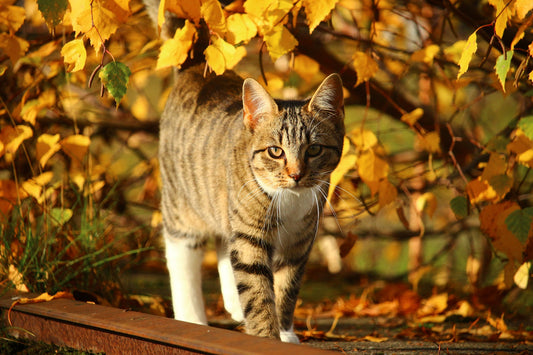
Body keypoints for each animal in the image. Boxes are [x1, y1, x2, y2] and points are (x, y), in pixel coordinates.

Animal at [158, 65, 344, 344]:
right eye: (275, 151)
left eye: (314, 150)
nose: (296, 175)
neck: (290, 200)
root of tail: (197, 68)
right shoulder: (250, 232)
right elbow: (257, 290)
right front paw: (266, 337)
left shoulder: (299, 241)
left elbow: (286, 287)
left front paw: (285, 333)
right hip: (183, 205)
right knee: (182, 256)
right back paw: (192, 318)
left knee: (226, 244)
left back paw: (235, 303)